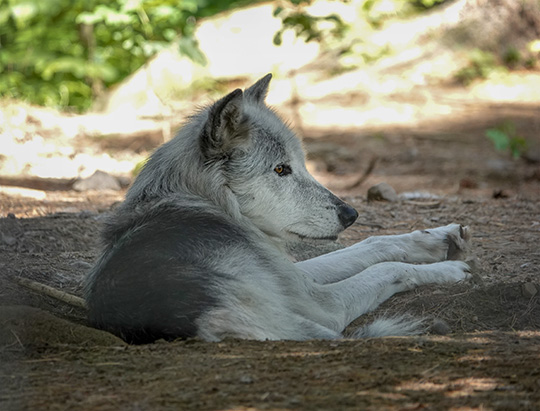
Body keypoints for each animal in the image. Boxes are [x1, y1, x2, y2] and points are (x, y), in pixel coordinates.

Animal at [85, 74, 472, 344]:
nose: (350, 215)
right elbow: (389, 268)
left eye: (301, 165)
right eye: (281, 169)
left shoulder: (292, 274)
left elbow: (372, 244)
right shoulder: (320, 301)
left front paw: (439, 240)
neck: (206, 201)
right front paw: (449, 269)